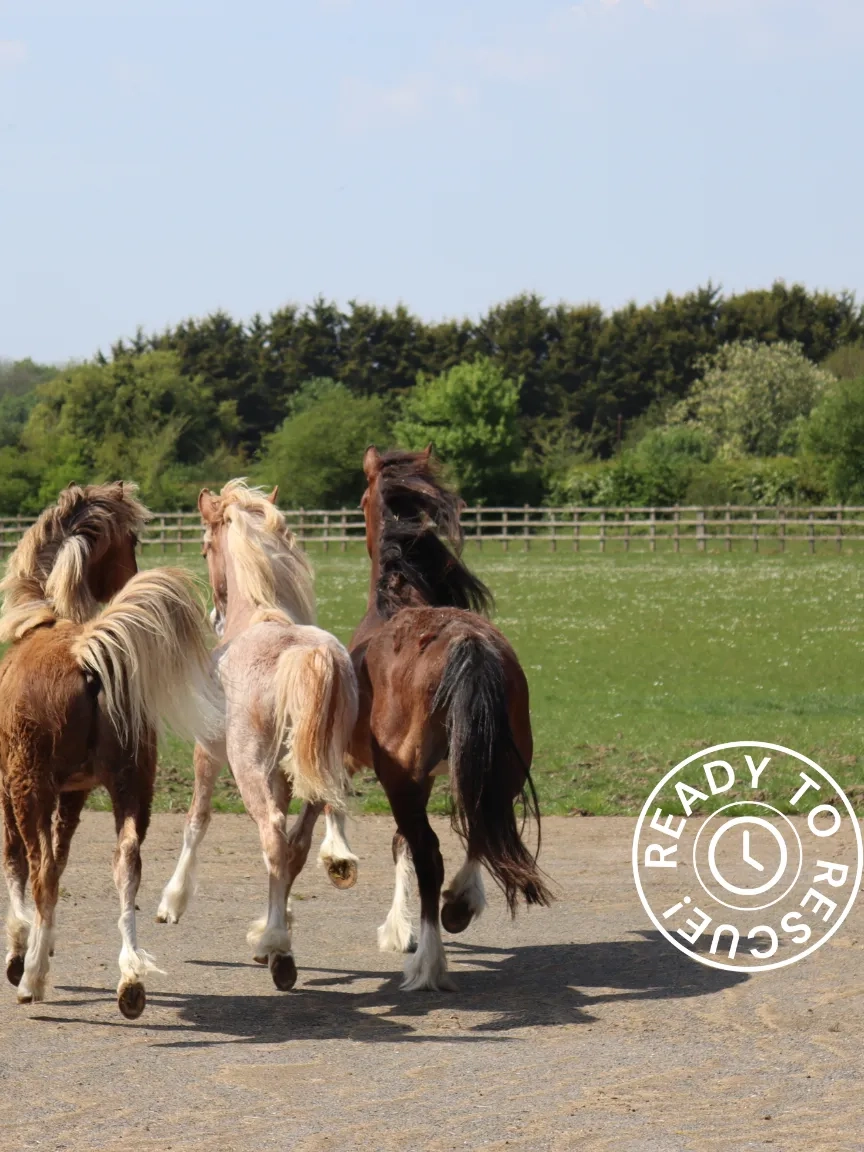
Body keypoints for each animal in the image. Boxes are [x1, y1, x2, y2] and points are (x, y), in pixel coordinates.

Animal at [0, 481, 219, 1018]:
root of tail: (85, 657)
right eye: (133, 539)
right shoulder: (75, 793)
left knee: (39, 872)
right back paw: (130, 982)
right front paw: (43, 943)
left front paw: (21, 951)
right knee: (126, 867)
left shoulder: (8, 787)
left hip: (30, 787)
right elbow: (60, 861)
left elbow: (17, 866)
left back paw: (31, 982)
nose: (129, 577)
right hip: (131, 786)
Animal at [155, 480, 358, 992]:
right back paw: (272, 938)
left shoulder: (206, 752)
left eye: (204, 547)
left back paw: (279, 951)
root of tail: (306, 657)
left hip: (247, 769)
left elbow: (196, 820)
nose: (214, 614)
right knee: (295, 844)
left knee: (272, 835)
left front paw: (171, 902)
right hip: (314, 776)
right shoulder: (285, 777)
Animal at [307, 445, 552, 990]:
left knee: (428, 854)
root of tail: (468, 642)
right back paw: (459, 905)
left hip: (404, 780)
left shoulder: (361, 759)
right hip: (498, 766)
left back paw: (428, 964)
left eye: (360, 498)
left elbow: (346, 805)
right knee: (481, 825)